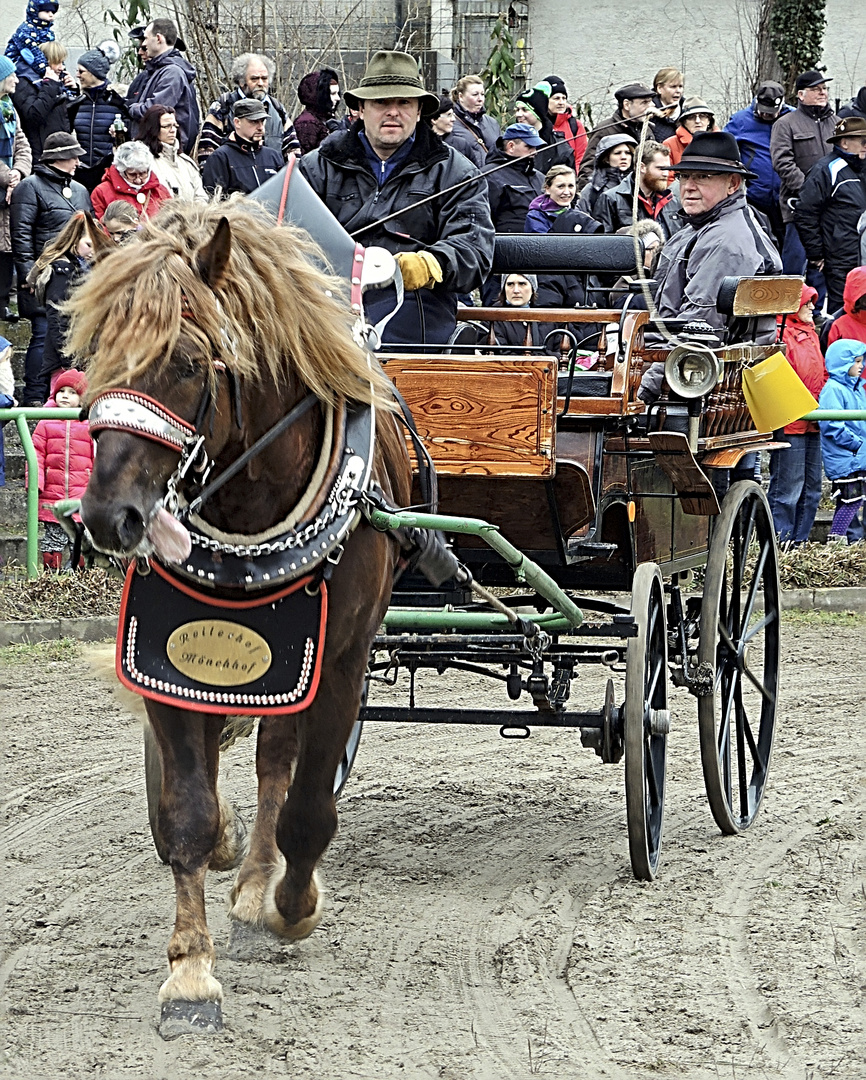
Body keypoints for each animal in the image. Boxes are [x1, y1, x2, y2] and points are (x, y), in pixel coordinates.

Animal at [65, 198, 410, 1032]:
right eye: (94, 356)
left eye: (189, 364)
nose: (107, 517)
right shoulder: (161, 650)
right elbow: (186, 812)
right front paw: (191, 973)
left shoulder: (339, 661)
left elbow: (309, 806)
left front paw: (291, 905)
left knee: (279, 763)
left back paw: (258, 884)